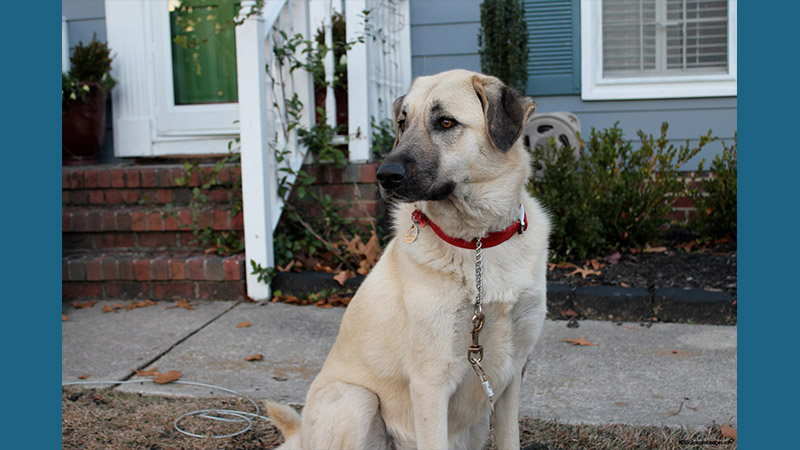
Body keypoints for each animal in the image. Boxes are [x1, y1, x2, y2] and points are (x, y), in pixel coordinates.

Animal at [268, 69, 552, 450]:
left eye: (445, 122)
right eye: (403, 122)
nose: (385, 175)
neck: (478, 242)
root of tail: (303, 439)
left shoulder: (511, 374)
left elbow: (510, 438)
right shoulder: (431, 382)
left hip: (476, 426)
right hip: (358, 400)